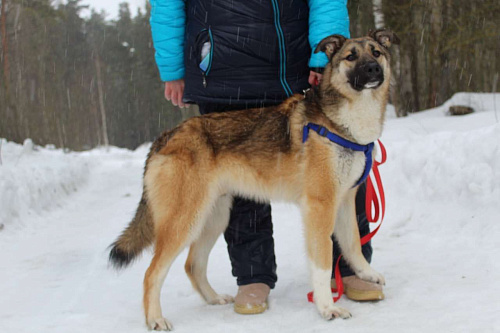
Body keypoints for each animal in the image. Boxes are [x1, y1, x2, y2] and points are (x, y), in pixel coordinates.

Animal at [109, 29, 398, 330]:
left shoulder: (345, 200)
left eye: (376, 52)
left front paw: (366, 275)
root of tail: (164, 137)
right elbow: (323, 262)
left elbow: (353, 244)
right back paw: (155, 319)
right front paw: (327, 308)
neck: (340, 123)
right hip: (184, 220)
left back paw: (214, 299)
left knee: (192, 264)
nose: (373, 69)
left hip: (214, 217)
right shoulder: (320, 207)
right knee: (152, 272)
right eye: (351, 56)